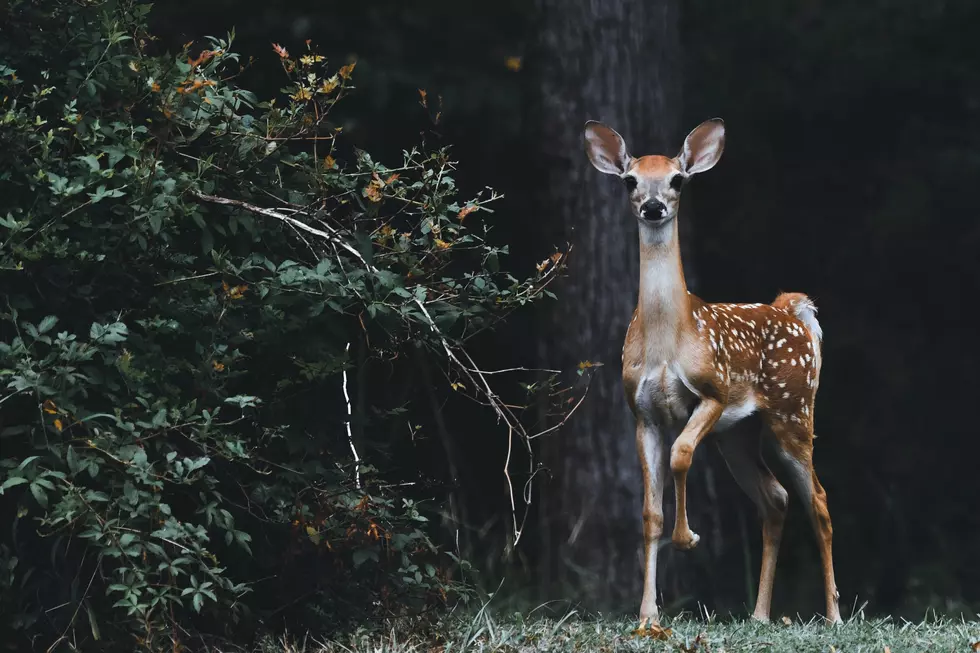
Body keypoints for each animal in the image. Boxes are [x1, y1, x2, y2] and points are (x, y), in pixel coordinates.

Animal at [583, 118, 841, 627]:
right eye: (630, 181)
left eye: (678, 180)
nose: (654, 206)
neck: (668, 340)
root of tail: (793, 310)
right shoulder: (641, 413)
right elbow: (650, 512)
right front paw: (648, 615)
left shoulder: (713, 392)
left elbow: (682, 454)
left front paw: (688, 538)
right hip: (738, 435)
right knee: (775, 497)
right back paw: (759, 615)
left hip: (793, 411)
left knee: (818, 500)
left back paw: (834, 616)